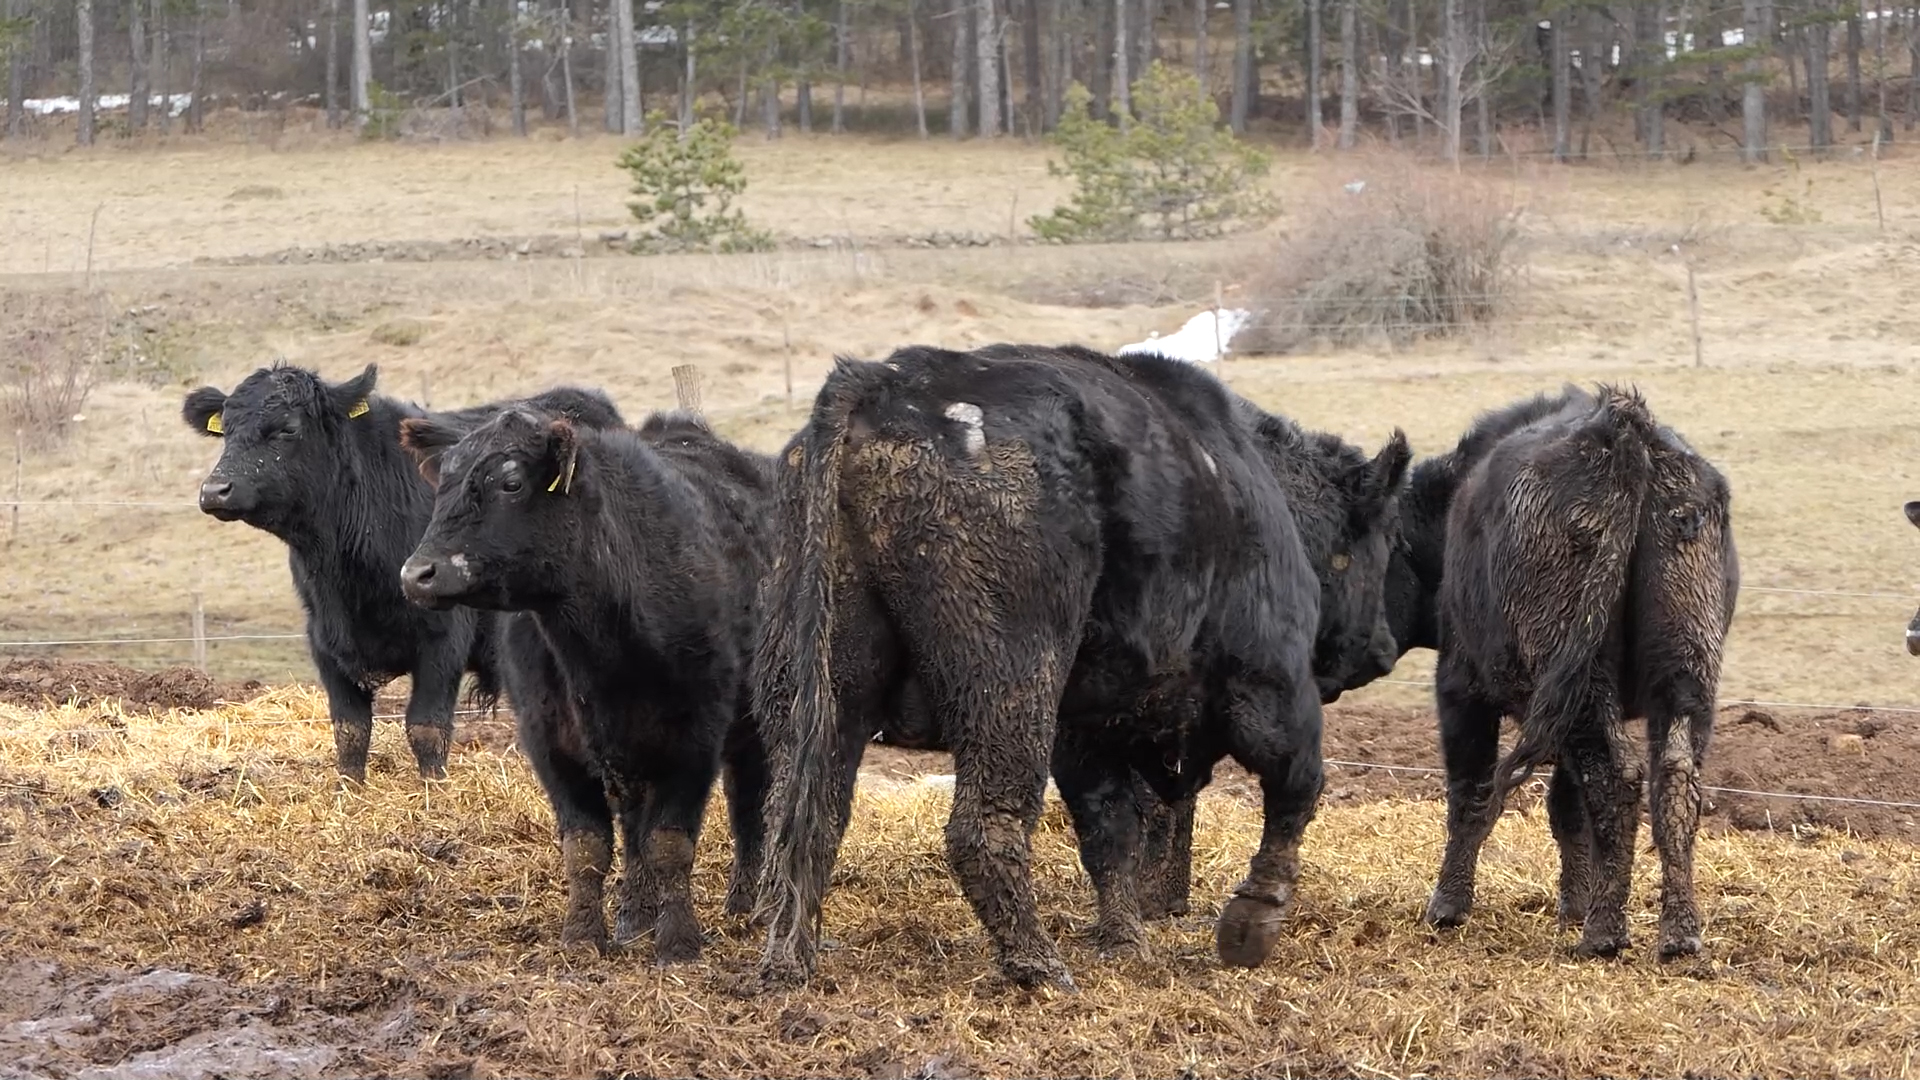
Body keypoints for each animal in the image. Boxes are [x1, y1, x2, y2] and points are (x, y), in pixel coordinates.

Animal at [181, 363, 622, 780]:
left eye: (287, 428)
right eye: (226, 429)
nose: (215, 490)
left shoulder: (444, 638)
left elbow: (426, 729)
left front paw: (434, 790)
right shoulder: (323, 639)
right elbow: (350, 731)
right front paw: (349, 789)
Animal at [397, 403, 771, 957]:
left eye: (511, 482)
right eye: (443, 481)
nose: (417, 574)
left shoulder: (695, 736)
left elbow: (670, 843)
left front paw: (678, 941)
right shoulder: (550, 741)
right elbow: (587, 847)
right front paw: (582, 936)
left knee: (749, 805)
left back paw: (749, 904)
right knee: (637, 825)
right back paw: (634, 915)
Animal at [752, 340, 1413, 991]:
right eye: (1383, 540)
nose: (1383, 646)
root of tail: (882, 382)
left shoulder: (1084, 730)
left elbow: (1109, 832)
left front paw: (1126, 941)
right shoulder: (1270, 683)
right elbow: (1296, 785)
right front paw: (1252, 922)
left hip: (824, 687)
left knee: (806, 813)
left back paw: (790, 962)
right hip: (1012, 684)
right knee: (981, 826)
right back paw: (1040, 967)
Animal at [1397, 382, 1743, 953]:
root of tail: (1623, 429)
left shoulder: (1461, 688)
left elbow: (1470, 793)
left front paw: (1447, 906)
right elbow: (1569, 809)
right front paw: (1575, 903)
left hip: (1577, 679)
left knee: (1617, 777)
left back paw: (1604, 933)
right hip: (1683, 672)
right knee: (1672, 779)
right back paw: (1677, 934)